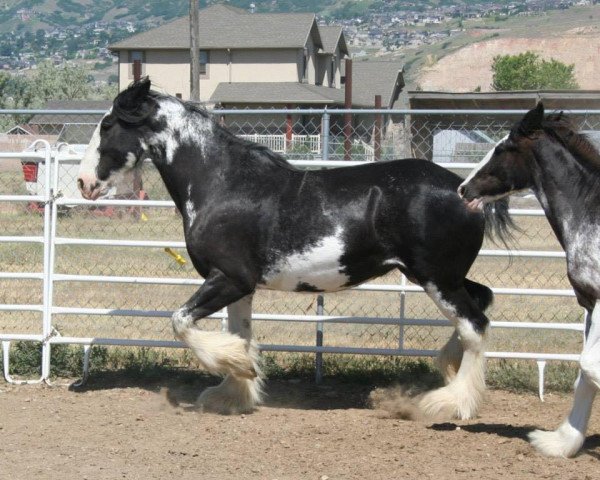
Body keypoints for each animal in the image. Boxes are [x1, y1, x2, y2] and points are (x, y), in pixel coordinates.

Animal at [78, 78, 510, 416]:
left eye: (107, 124)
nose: (84, 183)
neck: (221, 183)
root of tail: (465, 191)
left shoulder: (229, 279)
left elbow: (181, 321)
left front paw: (240, 369)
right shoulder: (239, 286)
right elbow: (240, 332)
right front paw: (235, 392)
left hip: (437, 277)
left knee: (475, 326)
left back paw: (450, 404)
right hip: (442, 276)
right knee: (482, 301)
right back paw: (448, 368)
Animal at [462, 102, 596, 458]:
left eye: (502, 149)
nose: (464, 188)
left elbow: (590, 367)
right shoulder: (590, 302)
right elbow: (585, 374)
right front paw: (560, 442)